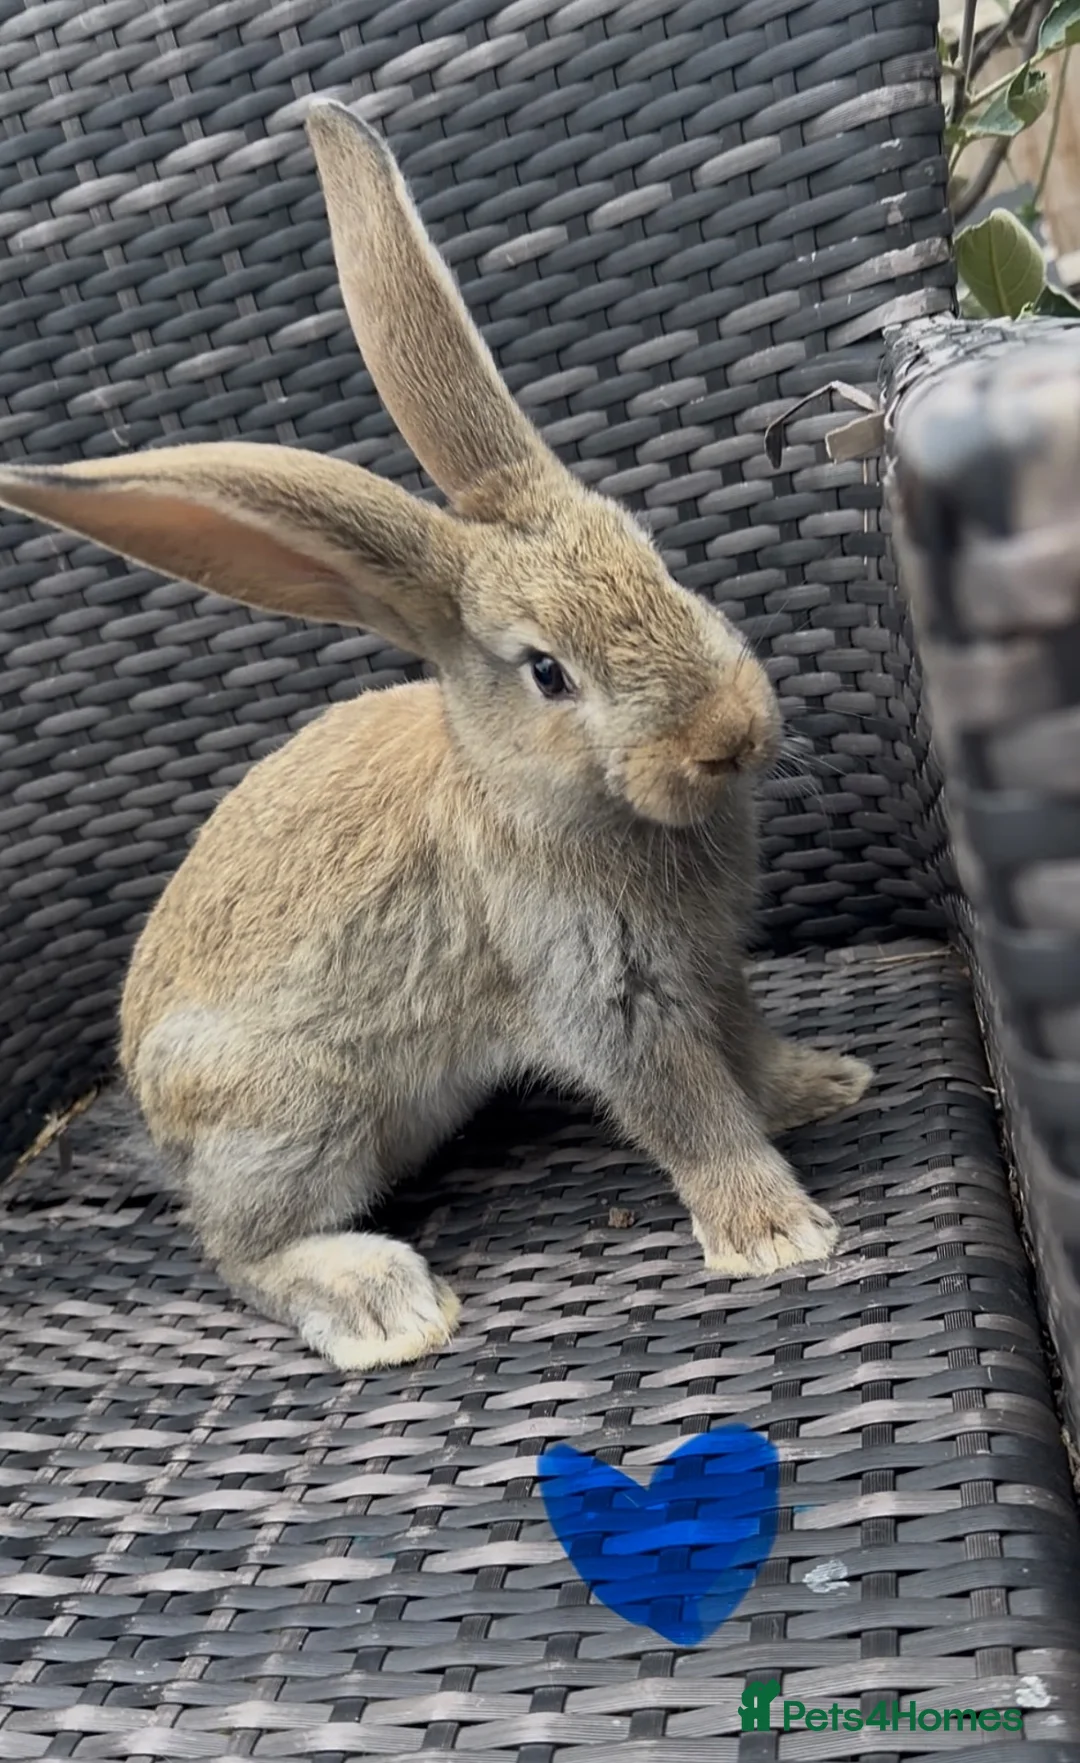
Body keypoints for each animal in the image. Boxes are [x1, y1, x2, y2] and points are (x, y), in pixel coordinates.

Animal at [0, 101, 873, 1371]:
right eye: (547, 671)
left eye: (657, 559)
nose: (730, 732)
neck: (537, 789)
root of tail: (164, 1132)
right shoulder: (608, 995)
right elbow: (688, 1108)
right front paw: (777, 1234)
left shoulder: (710, 965)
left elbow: (746, 1045)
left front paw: (823, 1083)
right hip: (299, 1115)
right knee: (237, 1250)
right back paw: (381, 1303)